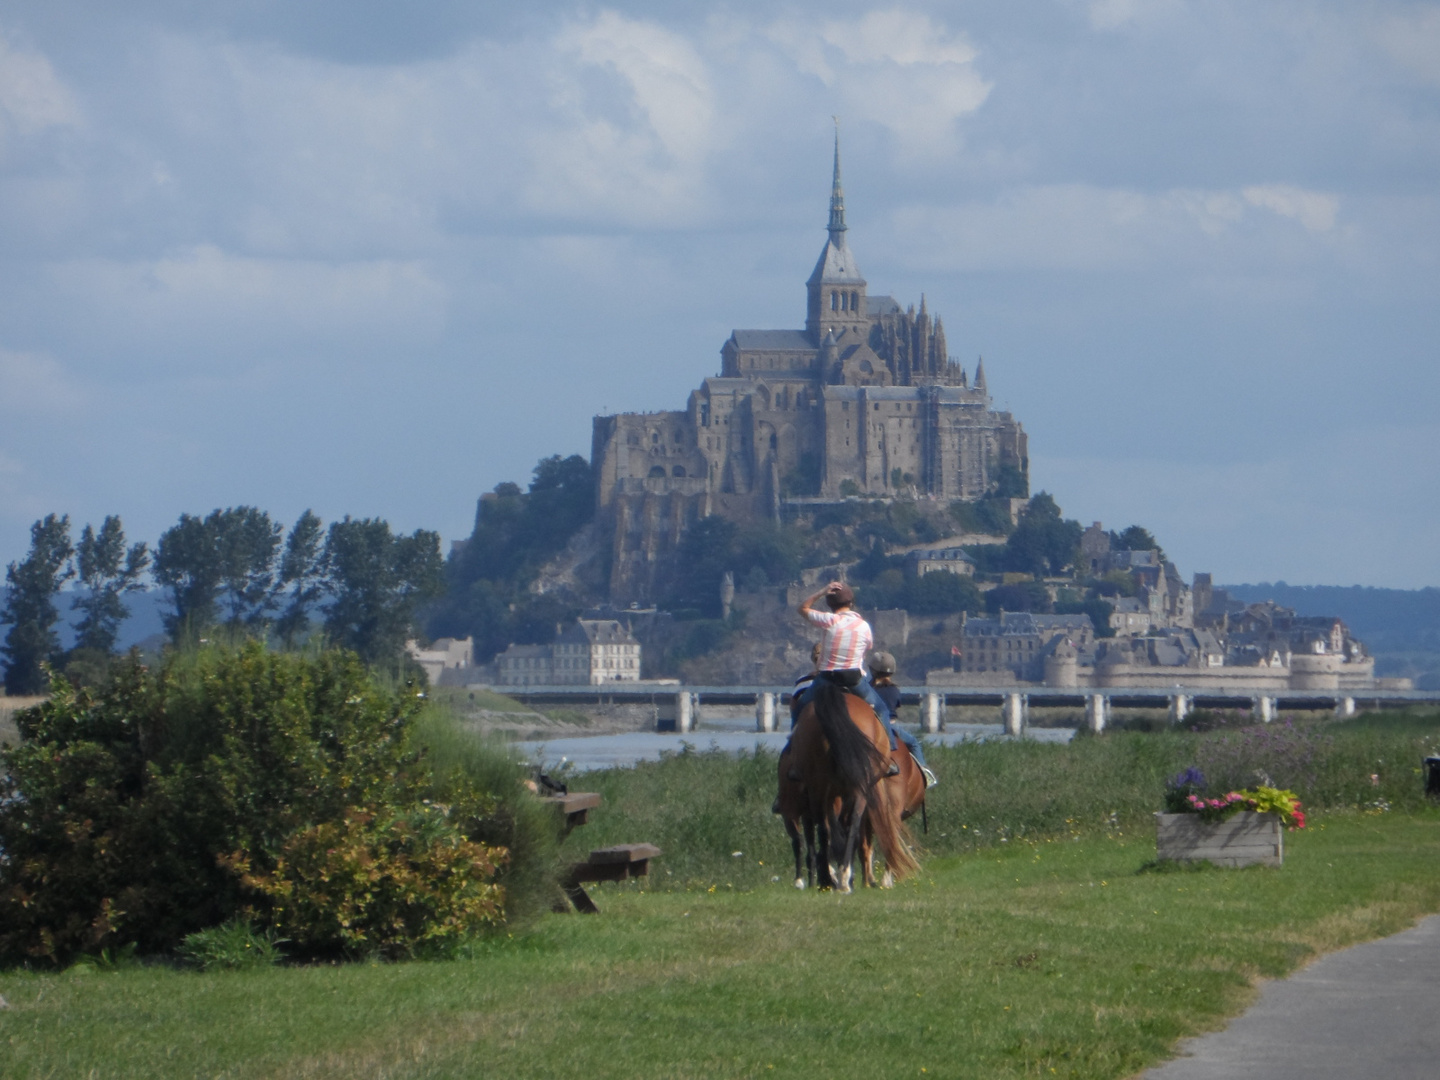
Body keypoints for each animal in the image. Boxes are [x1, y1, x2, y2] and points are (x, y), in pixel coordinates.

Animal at [783, 685, 915, 898]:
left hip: (823, 785)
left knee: (828, 826)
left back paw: (834, 879)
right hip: (849, 786)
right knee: (847, 824)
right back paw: (841, 878)